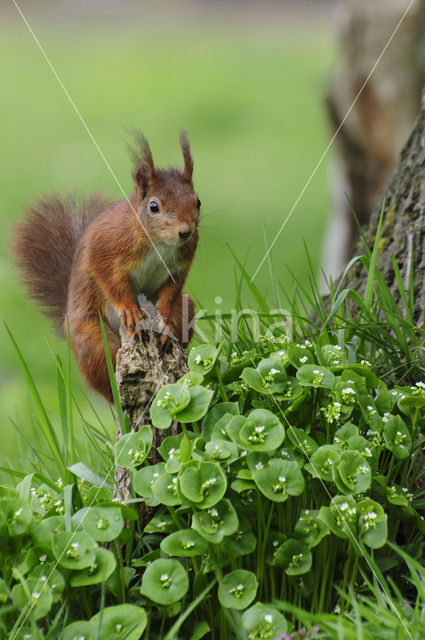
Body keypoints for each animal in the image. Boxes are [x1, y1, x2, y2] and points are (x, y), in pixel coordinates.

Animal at [12, 132, 199, 402]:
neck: (159, 242)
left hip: (187, 307)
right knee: (108, 379)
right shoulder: (105, 247)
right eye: (154, 207)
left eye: (198, 202)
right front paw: (129, 309)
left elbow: (171, 290)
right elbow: (108, 278)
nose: (186, 232)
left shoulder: (180, 264)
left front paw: (164, 318)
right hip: (92, 341)